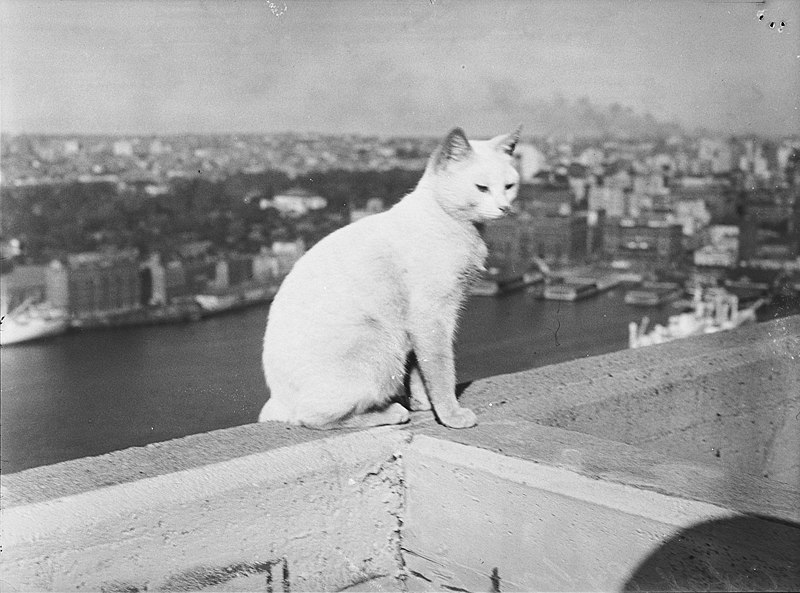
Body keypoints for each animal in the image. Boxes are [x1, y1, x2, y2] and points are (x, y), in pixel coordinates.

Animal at [260, 127, 520, 428]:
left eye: (509, 187)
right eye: (482, 188)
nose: (504, 208)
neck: (454, 223)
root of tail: (277, 400)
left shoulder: (423, 322)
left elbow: (420, 371)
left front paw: (424, 405)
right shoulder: (433, 315)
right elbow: (441, 370)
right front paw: (451, 415)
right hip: (380, 345)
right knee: (314, 418)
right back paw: (393, 412)